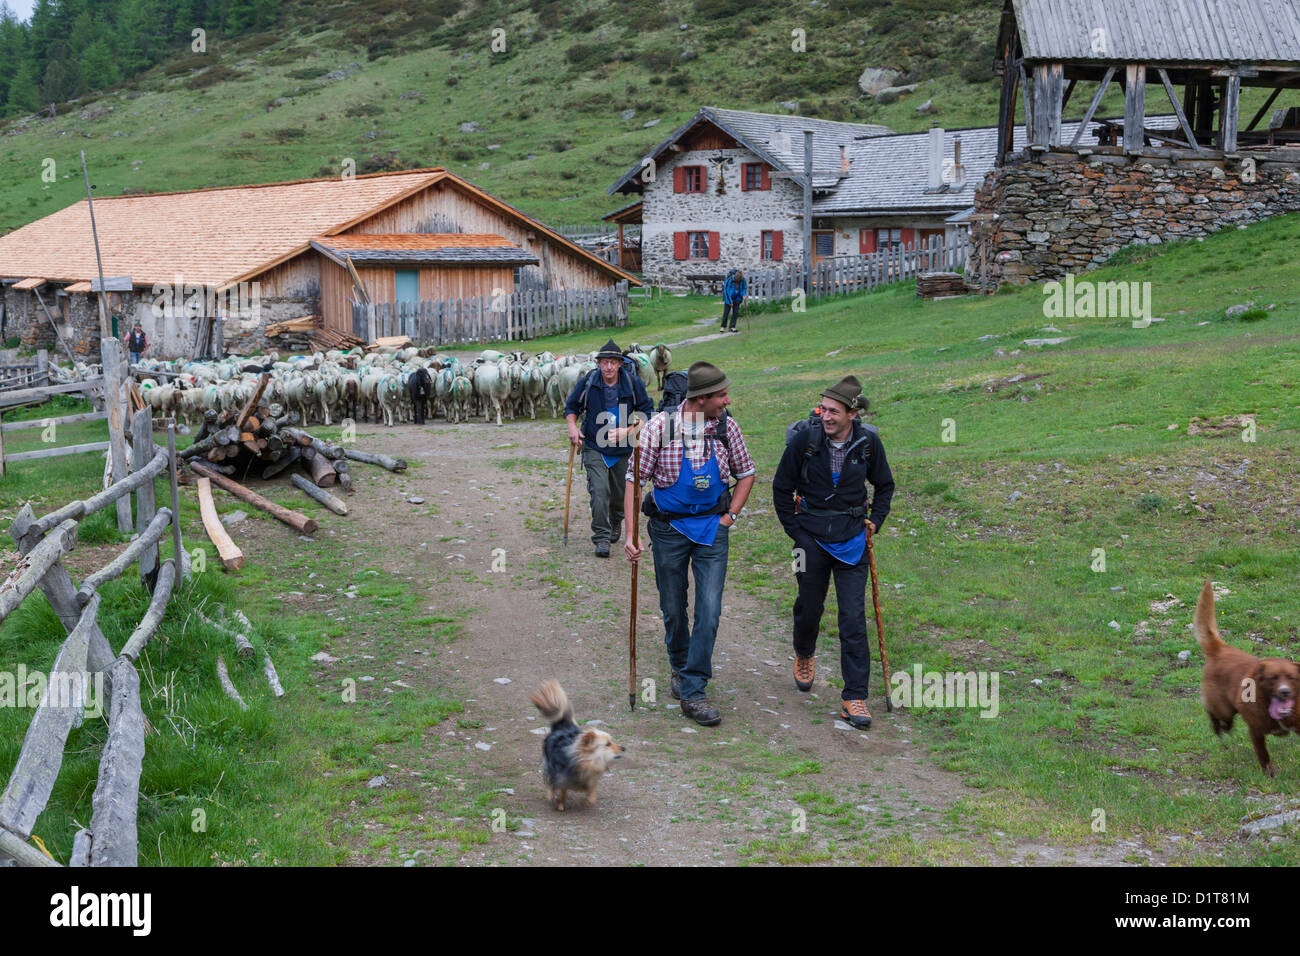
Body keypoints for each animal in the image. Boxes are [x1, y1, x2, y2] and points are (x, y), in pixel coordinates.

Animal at [1196, 582, 1300, 780]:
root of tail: (1220, 648)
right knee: (1213, 713)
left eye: (1291, 677)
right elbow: (1263, 754)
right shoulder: (1256, 731)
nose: (1284, 692)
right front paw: (1269, 773)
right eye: (1272, 678)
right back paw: (1218, 728)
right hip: (1223, 708)